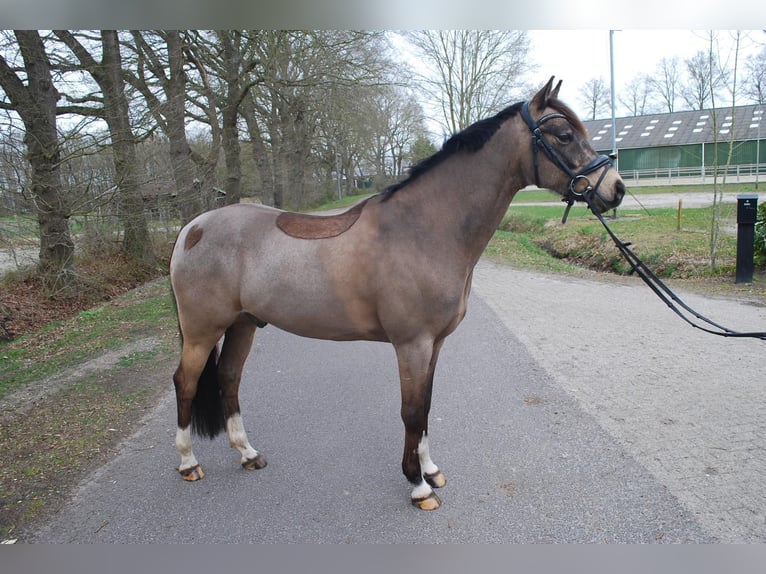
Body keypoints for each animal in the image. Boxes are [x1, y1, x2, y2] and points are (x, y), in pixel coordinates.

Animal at [169, 77, 626, 510]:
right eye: (563, 135)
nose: (615, 189)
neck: (423, 230)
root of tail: (193, 227)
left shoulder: (434, 344)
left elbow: (425, 408)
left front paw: (431, 470)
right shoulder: (412, 344)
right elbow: (410, 412)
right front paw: (418, 486)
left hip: (243, 325)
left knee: (228, 378)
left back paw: (248, 454)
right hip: (202, 331)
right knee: (186, 382)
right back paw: (188, 463)